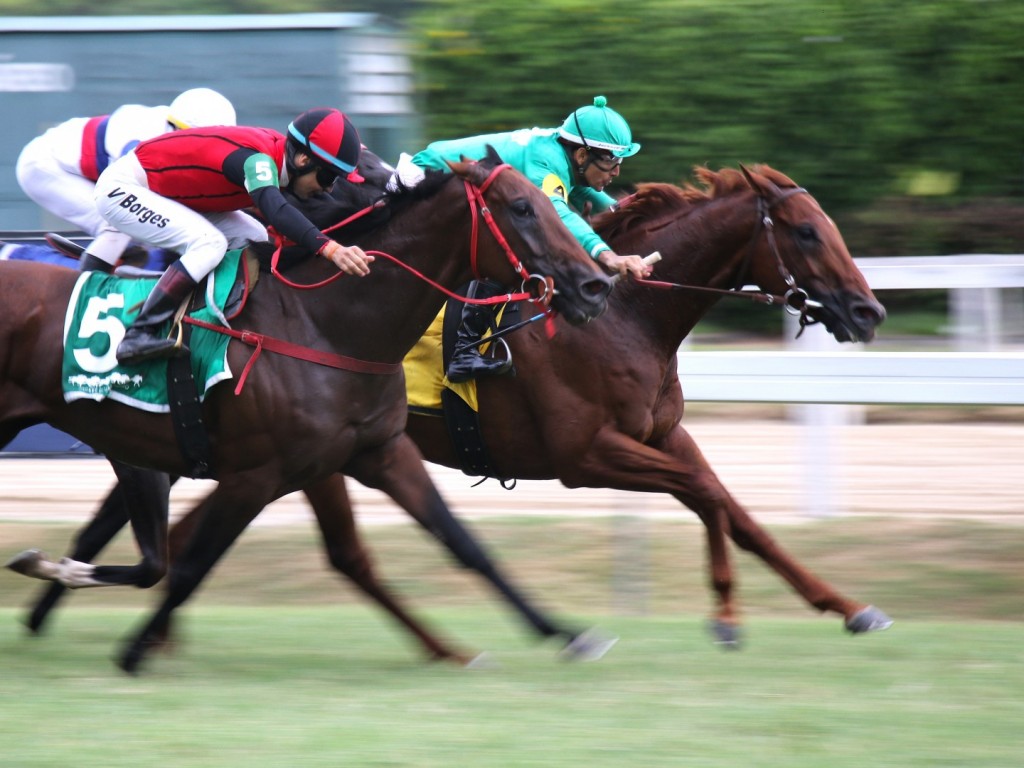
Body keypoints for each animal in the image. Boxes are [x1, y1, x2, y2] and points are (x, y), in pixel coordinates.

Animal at [0, 153, 606, 671]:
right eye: (522, 207)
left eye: (552, 200)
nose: (595, 286)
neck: (325, 325)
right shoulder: (255, 475)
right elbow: (193, 566)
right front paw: (132, 652)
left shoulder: (379, 453)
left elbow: (464, 543)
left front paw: (568, 635)